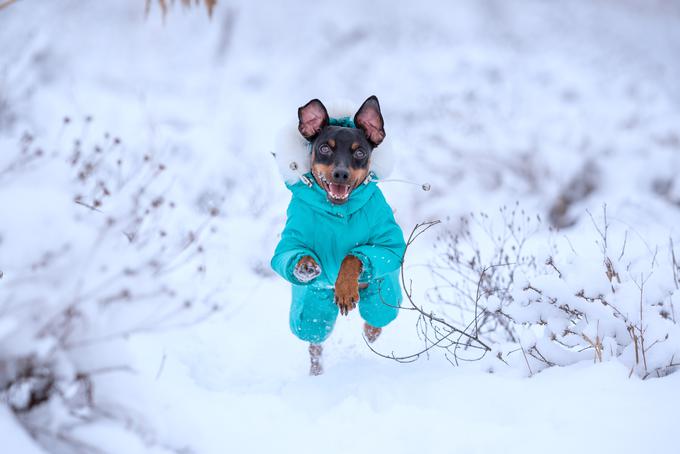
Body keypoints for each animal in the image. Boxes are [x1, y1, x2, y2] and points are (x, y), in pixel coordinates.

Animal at [270, 96, 404, 376]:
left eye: (360, 152)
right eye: (324, 148)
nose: (341, 173)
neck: (338, 213)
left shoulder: (388, 246)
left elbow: (353, 257)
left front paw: (345, 288)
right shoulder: (289, 243)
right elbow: (290, 256)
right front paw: (305, 266)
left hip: (382, 292)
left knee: (377, 316)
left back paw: (370, 331)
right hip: (311, 311)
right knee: (314, 341)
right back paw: (316, 373)